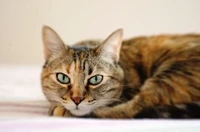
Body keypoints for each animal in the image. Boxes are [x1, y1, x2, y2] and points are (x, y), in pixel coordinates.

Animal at [40, 25, 200, 118]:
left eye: (96, 79)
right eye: (63, 78)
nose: (77, 100)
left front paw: (60, 109)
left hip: (171, 75)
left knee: (132, 110)